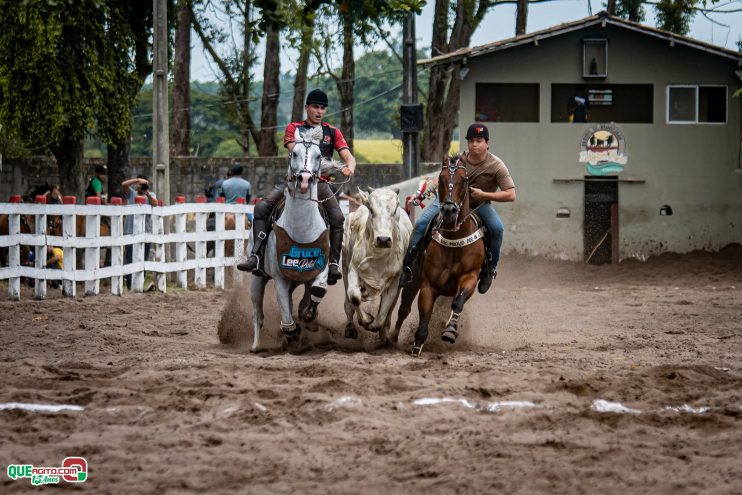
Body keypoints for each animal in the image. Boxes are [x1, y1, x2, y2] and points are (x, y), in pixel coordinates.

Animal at [250, 127, 332, 352]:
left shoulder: (321, 268)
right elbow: (286, 317)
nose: (304, 180)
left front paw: (309, 316)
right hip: (258, 279)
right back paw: (256, 345)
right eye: (293, 153)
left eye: (319, 156)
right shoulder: (280, 278)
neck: (301, 229)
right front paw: (293, 333)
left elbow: (317, 290)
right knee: (258, 314)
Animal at [342, 188, 412, 342]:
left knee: (389, 311)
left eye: (394, 210)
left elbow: (381, 317)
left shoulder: (394, 283)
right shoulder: (354, 268)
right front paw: (366, 320)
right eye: (372, 210)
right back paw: (350, 328)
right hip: (344, 266)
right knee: (348, 304)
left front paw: (375, 326)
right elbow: (354, 297)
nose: (383, 239)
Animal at [398, 155, 486, 356]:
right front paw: (418, 343)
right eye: (440, 178)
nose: (449, 211)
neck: (454, 241)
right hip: (412, 280)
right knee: (403, 309)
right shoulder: (428, 285)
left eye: (465, 179)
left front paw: (450, 331)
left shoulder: (469, 276)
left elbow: (458, 303)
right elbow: (425, 312)